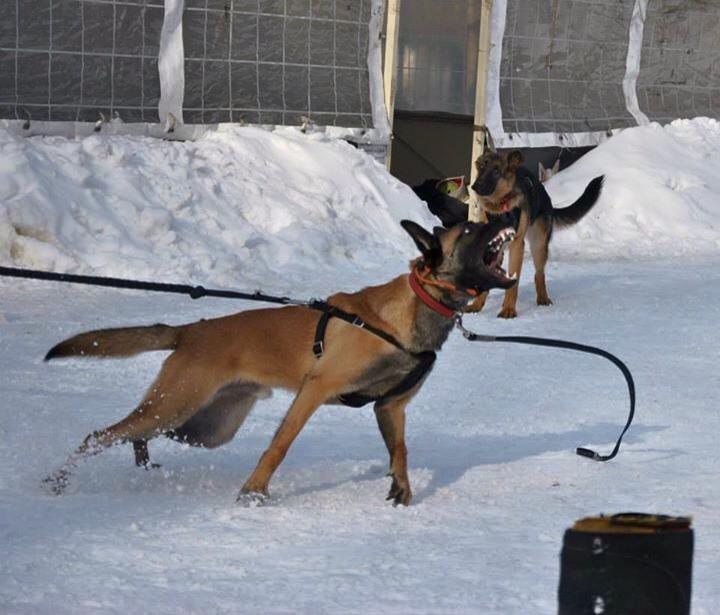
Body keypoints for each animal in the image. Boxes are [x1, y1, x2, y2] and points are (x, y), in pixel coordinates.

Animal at [43, 219, 516, 508]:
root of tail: (191, 330)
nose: (508, 211)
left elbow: (399, 449)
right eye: (471, 228)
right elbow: (279, 445)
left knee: (136, 434)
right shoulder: (314, 390)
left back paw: (142, 463)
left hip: (202, 427)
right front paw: (253, 491)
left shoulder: (390, 406)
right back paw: (58, 481)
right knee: (99, 435)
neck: (417, 305)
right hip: (175, 405)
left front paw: (401, 486)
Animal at [410, 152, 600, 320]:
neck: (498, 207)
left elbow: (513, 283)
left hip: (538, 245)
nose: (475, 186)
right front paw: (477, 304)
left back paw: (543, 298)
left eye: (496, 171)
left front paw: (508, 309)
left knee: (539, 274)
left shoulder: (517, 246)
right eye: (481, 167)